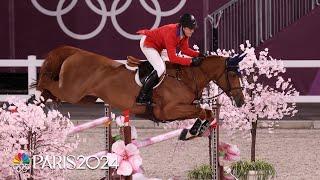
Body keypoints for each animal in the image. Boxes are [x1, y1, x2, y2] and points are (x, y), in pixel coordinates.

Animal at [32, 45, 244, 121]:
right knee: (48, 82)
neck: (186, 78)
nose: (241, 101)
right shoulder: (168, 110)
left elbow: (205, 112)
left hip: (87, 97)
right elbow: (201, 111)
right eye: (233, 75)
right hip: (71, 91)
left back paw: (44, 99)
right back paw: (37, 95)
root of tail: (75, 52)